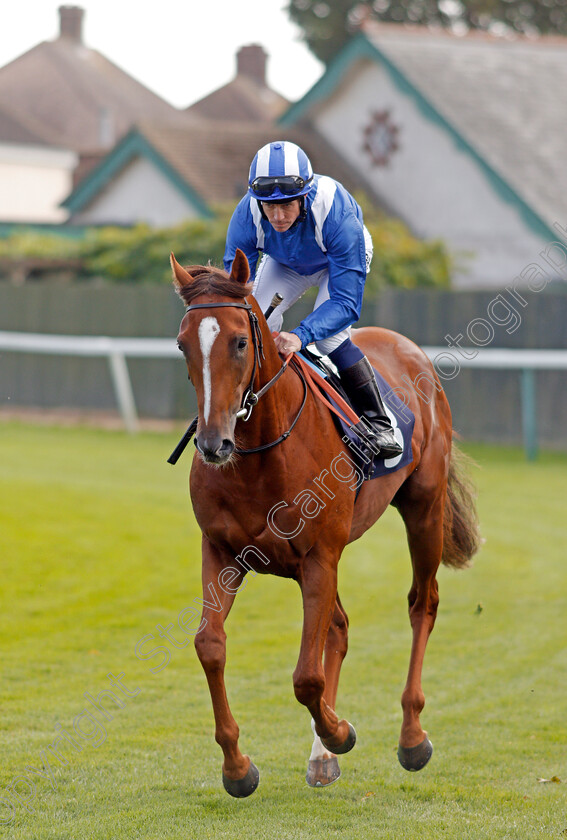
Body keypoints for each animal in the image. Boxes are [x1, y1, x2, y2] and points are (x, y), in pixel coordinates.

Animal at [171, 248, 482, 796]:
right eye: (184, 344)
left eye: (239, 341)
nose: (213, 443)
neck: (260, 458)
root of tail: (408, 348)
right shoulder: (224, 551)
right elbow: (209, 645)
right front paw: (238, 766)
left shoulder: (320, 555)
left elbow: (305, 678)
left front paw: (341, 732)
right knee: (338, 626)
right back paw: (322, 756)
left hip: (423, 509)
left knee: (422, 604)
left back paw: (410, 737)